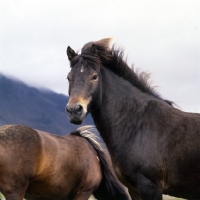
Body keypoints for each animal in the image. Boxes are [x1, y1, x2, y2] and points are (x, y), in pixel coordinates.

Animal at [66, 38, 200, 199]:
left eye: (94, 76)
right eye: (68, 78)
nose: (74, 110)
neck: (137, 125)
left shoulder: (150, 187)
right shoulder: (134, 188)